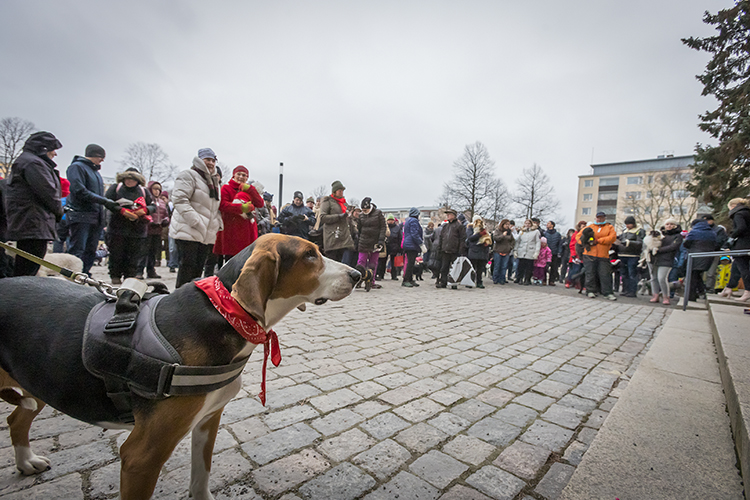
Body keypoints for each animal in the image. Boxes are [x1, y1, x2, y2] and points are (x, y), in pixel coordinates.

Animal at [0, 235, 358, 500]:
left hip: (37, 383)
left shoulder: (209, 420)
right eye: (309, 255)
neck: (224, 310)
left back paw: (26, 462)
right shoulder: (141, 456)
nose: (358, 275)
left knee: (16, 419)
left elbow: (201, 476)